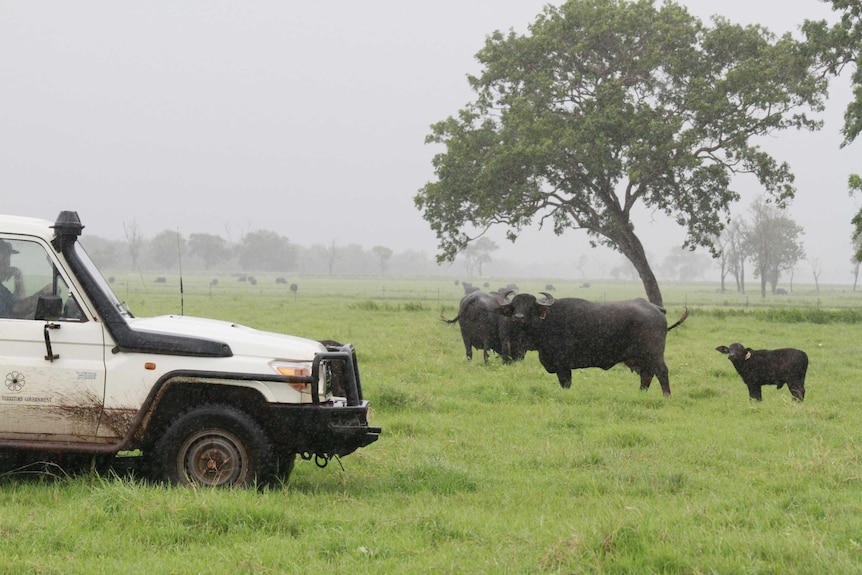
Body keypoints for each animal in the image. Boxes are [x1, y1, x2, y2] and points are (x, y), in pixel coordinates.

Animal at [500, 292, 688, 396]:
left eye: (530, 306)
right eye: (515, 305)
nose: (518, 317)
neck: (548, 321)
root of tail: (656, 309)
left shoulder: (563, 366)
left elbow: (565, 383)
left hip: (654, 354)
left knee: (661, 372)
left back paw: (667, 395)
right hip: (641, 358)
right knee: (646, 375)